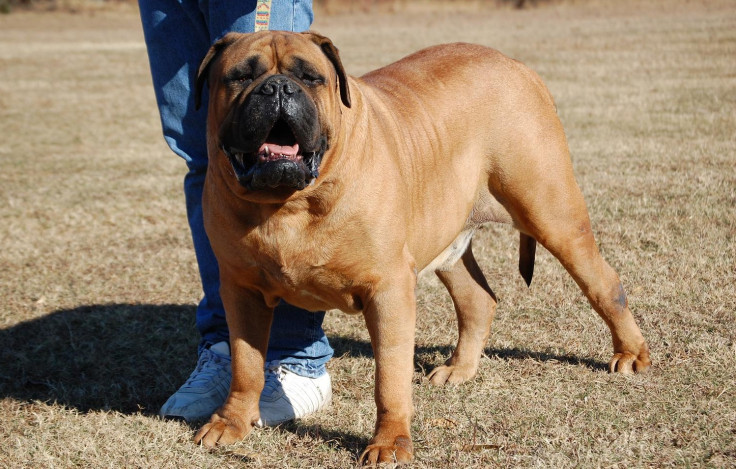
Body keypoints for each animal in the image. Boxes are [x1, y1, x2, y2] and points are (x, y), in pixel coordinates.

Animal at [191, 31, 648, 462]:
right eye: (240, 77)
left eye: (310, 77)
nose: (277, 89)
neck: (288, 205)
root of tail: (517, 65)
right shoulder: (240, 290)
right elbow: (246, 364)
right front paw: (231, 423)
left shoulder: (389, 290)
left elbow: (389, 378)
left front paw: (390, 443)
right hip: (448, 239)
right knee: (478, 299)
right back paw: (459, 369)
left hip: (553, 214)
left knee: (605, 284)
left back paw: (630, 354)